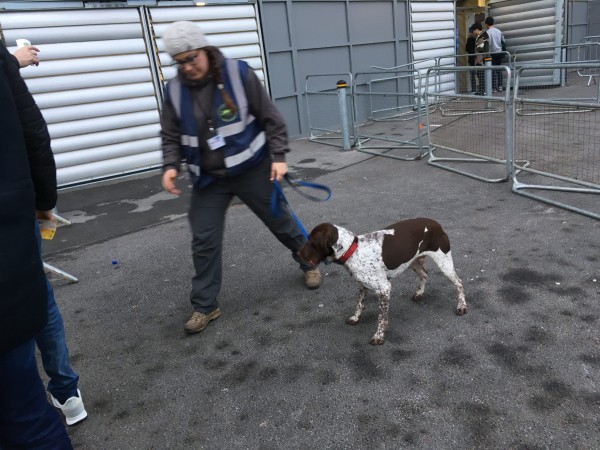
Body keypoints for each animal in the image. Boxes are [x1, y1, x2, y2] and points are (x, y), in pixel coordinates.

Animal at [298, 218, 466, 344]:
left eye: (312, 242)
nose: (297, 254)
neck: (353, 250)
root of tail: (436, 223)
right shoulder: (362, 286)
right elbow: (359, 304)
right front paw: (355, 318)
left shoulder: (384, 288)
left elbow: (381, 317)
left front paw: (379, 336)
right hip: (413, 261)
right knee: (424, 275)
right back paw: (419, 293)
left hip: (444, 263)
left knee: (459, 283)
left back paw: (462, 306)